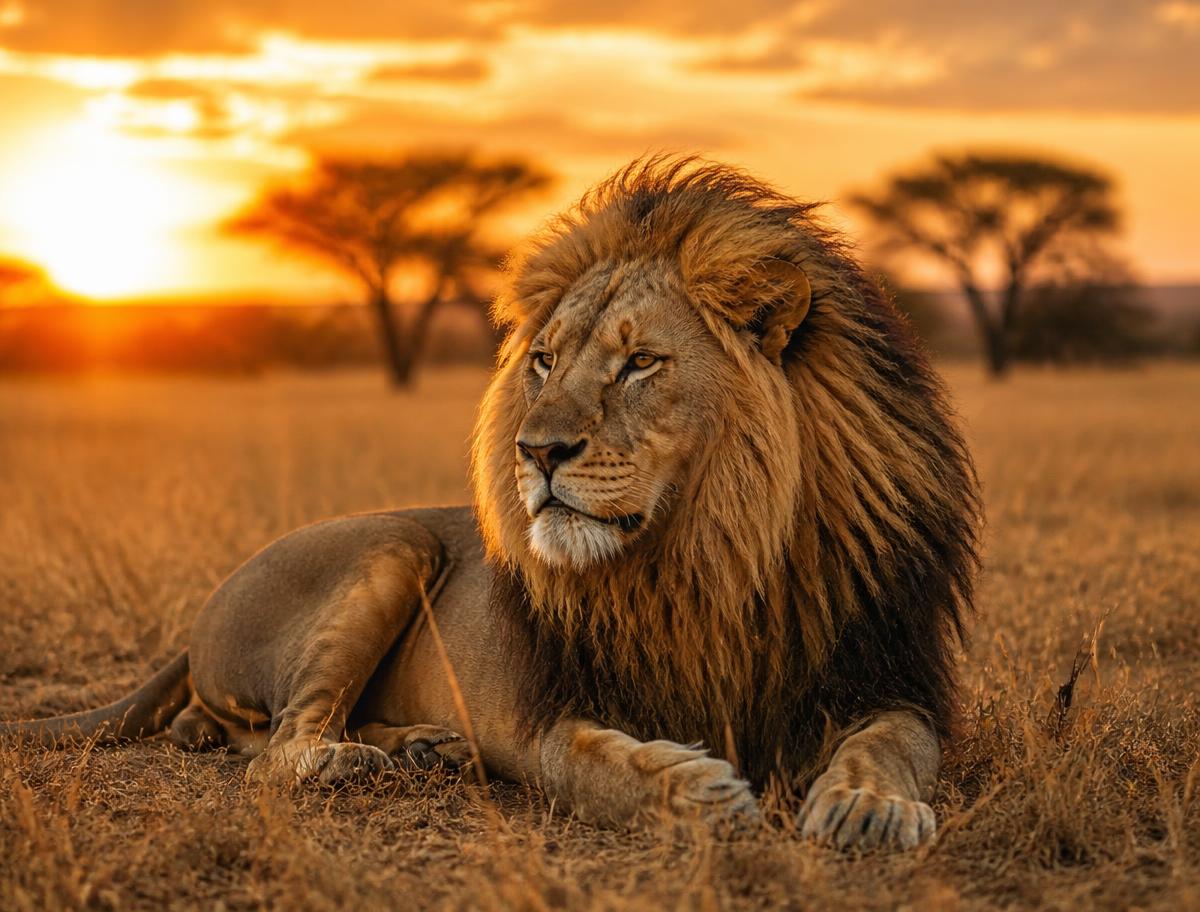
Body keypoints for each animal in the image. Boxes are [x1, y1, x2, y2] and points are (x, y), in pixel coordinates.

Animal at [2, 157, 979, 850]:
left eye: (640, 363)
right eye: (544, 361)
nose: (535, 452)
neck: (708, 556)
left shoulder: (888, 672)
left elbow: (896, 742)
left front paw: (865, 807)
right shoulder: (546, 710)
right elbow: (597, 768)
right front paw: (694, 790)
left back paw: (420, 748)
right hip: (393, 549)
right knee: (276, 751)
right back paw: (356, 761)